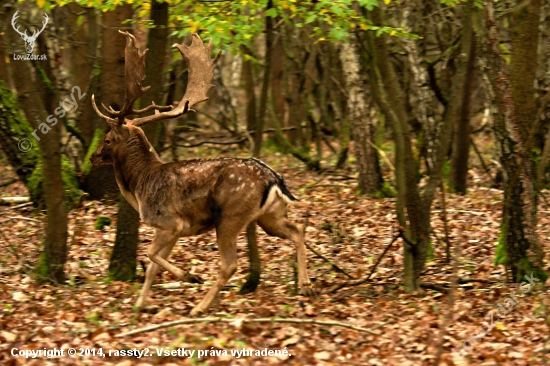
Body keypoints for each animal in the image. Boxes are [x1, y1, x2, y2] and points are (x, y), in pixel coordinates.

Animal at [90, 31, 314, 316]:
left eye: (107, 139)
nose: (93, 156)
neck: (140, 187)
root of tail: (274, 178)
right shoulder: (173, 231)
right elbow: (152, 266)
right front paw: (141, 304)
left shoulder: (168, 222)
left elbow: (151, 256)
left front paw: (190, 276)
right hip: (270, 215)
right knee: (298, 229)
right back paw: (305, 286)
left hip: (230, 216)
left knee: (230, 264)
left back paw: (200, 307)